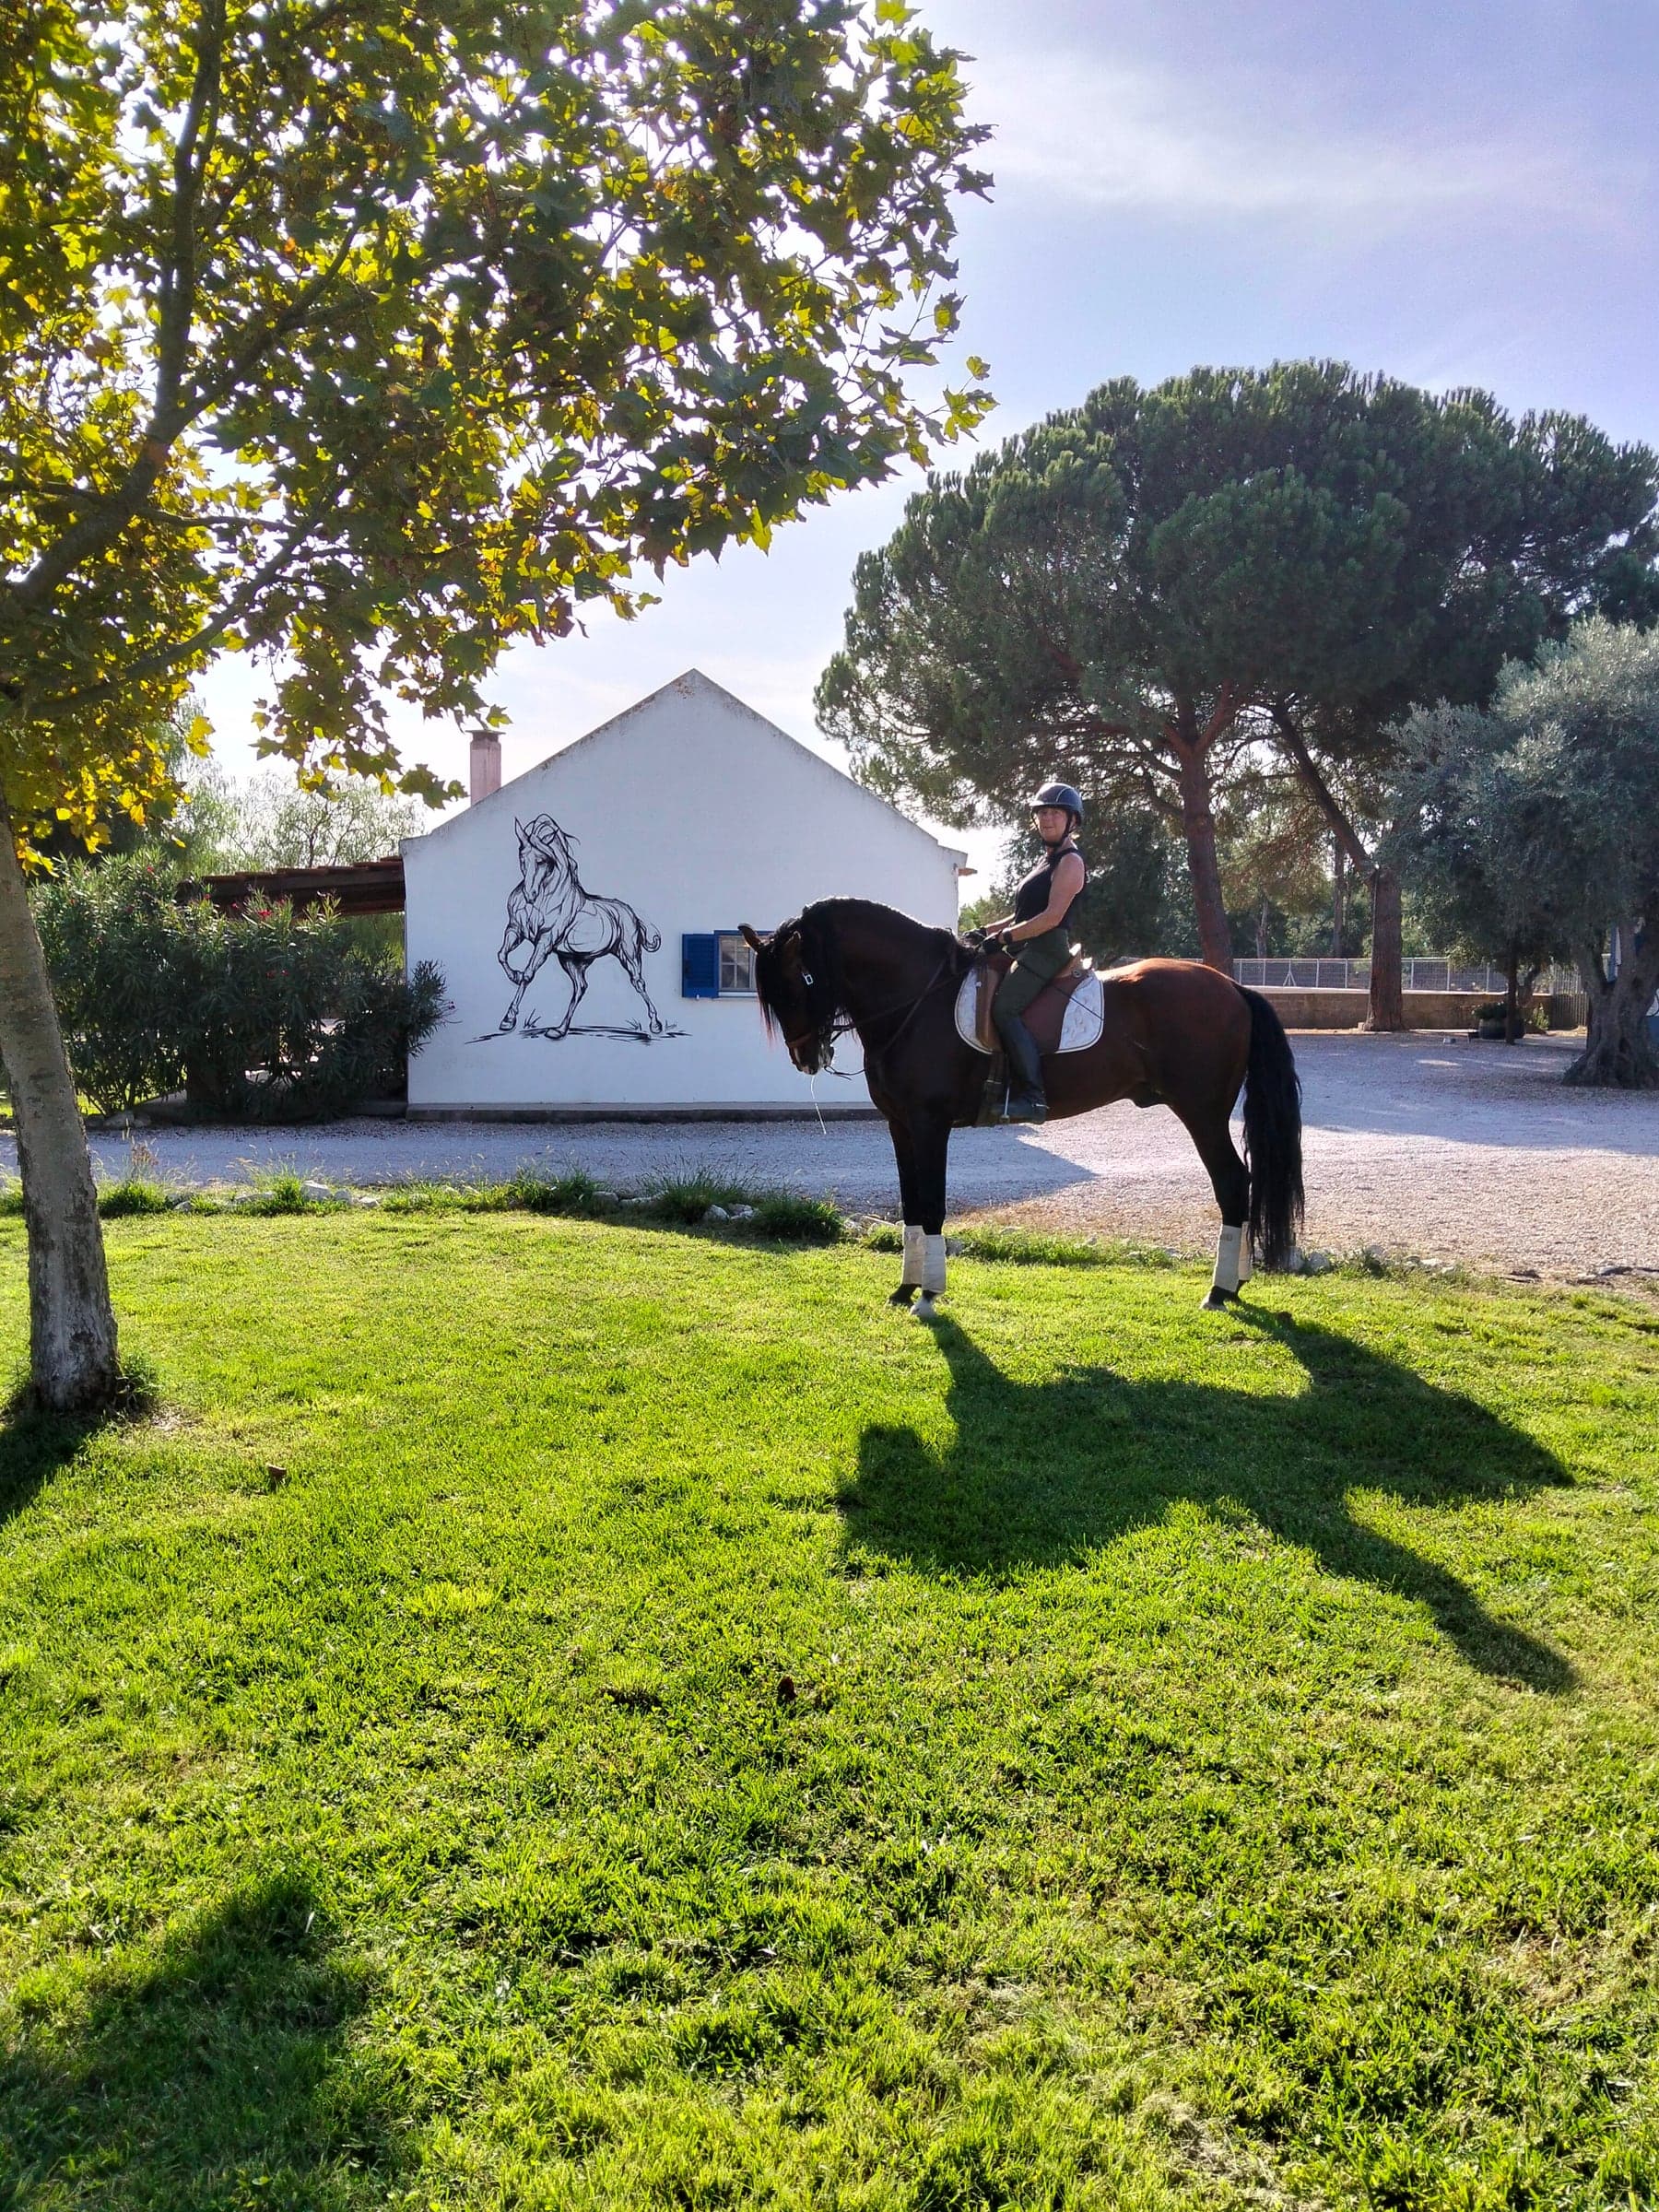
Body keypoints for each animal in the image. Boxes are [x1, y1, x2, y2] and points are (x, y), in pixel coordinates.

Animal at [498, 813, 665, 1038]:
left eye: (541, 860)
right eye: (522, 859)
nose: (529, 895)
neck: (545, 899)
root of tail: (633, 916)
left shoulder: (545, 940)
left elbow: (528, 974)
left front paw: (508, 1020)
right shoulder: (516, 929)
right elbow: (501, 955)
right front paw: (513, 977)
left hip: (629, 955)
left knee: (638, 983)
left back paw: (655, 1024)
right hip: (571, 960)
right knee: (580, 988)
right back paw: (558, 1030)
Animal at [741, 898, 1303, 1315]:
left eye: (799, 982)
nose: (807, 1057)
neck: (918, 999)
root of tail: (1232, 986)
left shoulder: (929, 1126)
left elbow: (933, 1205)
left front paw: (929, 1294)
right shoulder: (900, 1126)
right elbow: (911, 1206)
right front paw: (904, 1288)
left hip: (1202, 1113)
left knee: (1232, 1182)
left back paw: (1220, 1289)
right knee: (1241, 1184)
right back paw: (1237, 1281)